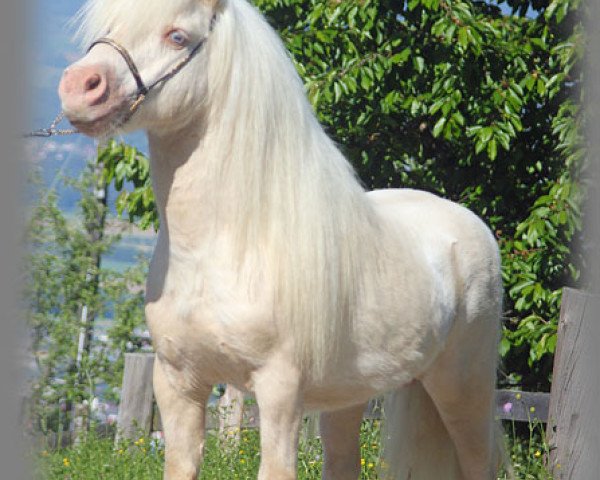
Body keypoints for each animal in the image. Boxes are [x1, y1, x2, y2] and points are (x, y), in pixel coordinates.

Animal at [58, 0, 504, 480]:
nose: (78, 87)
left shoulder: (280, 390)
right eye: (108, 25)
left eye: (177, 36)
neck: (223, 247)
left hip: (463, 389)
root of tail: (468, 222)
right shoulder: (177, 380)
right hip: (350, 395)